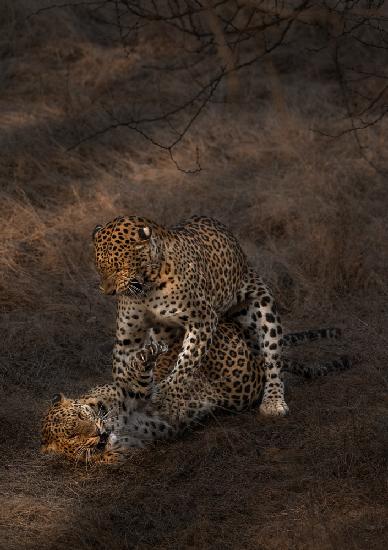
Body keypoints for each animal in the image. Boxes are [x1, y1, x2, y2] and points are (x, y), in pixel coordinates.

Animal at [40, 326, 348, 468]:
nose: (98, 432)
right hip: (242, 386)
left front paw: (149, 352)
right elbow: (117, 451)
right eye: (72, 435)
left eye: (82, 415)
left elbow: (139, 376)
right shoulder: (130, 447)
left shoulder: (134, 393)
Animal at [92, 216, 290, 418]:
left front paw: (166, 394)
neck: (146, 287)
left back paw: (273, 401)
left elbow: (186, 363)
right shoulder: (129, 335)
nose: (107, 291)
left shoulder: (203, 320)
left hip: (262, 306)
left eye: (119, 268)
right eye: (99, 268)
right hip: (163, 332)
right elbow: (123, 370)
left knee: (273, 360)